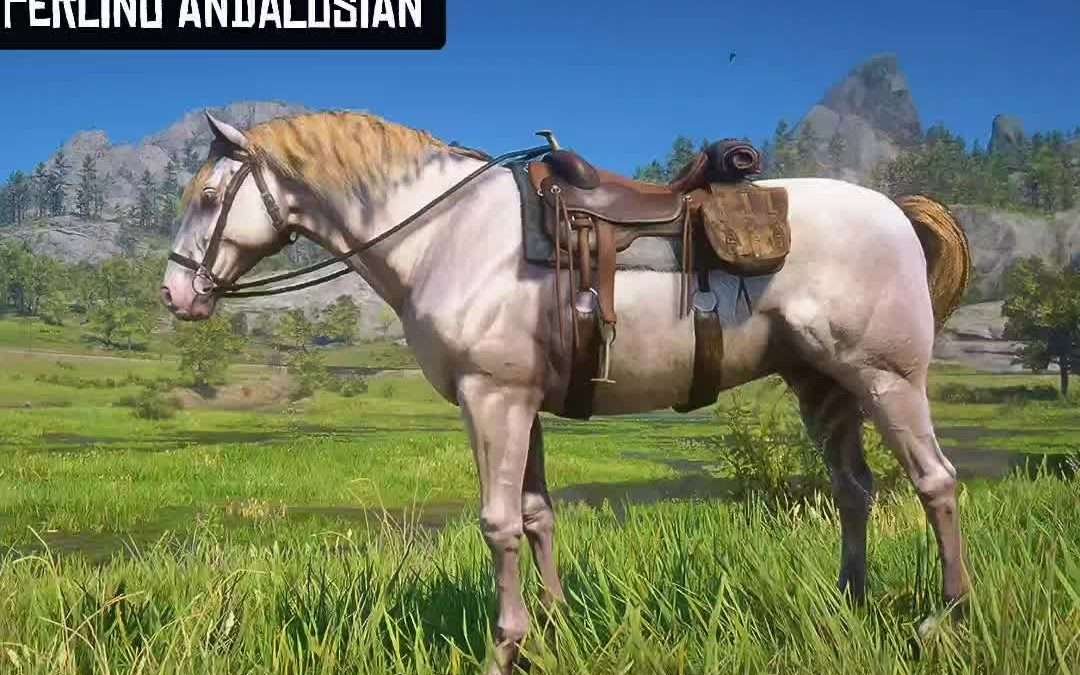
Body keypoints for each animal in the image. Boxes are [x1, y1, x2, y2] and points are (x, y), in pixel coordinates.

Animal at [161, 111, 973, 674]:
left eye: (209, 195)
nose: (174, 294)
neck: (448, 234)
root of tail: (896, 211)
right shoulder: (523, 405)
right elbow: (537, 516)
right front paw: (551, 630)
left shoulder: (492, 399)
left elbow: (498, 525)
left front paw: (506, 647)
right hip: (823, 387)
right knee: (854, 490)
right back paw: (849, 603)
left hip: (886, 379)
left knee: (935, 482)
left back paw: (946, 619)